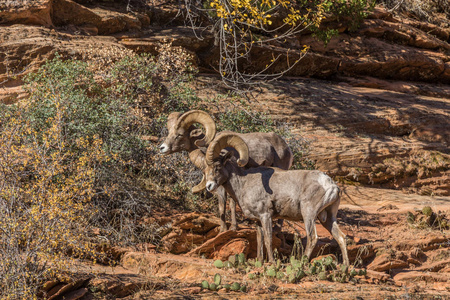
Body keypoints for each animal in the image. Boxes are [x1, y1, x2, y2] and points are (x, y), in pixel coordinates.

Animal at [160, 110, 294, 232]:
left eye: (179, 134)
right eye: (169, 132)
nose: (162, 148)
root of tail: (286, 147)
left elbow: (229, 203)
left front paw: (230, 228)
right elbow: (224, 205)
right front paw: (225, 229)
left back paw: (277, 229)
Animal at [203, 132, 348, 264]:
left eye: (217, 167)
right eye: (206, 169)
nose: (208, 186)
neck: (244, 183)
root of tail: (332, 186)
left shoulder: (266, 216)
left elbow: (268, 240)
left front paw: (272, 262)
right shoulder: (258, 220)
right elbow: (259, 239)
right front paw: (260, 261)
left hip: (309, 214)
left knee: (312, 238)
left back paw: (302, 262)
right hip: (327, 217)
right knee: (341, 237)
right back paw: (345, 269)